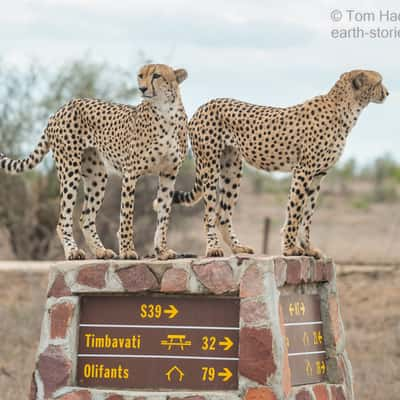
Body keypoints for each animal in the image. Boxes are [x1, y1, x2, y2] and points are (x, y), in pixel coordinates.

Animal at [0, 63, 189, 260]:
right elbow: (127, 215)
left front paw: (162, 250)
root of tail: (62, 108)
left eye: (156, 75)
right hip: (69, 170)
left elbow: (163, 214)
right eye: (140, 75)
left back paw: (101, 250)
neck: (166, 112)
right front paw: (127, 250)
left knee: (85, 218)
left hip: (97, 176)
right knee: (63, 219)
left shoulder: (169, 174)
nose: (142, 89)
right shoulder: (131, 173)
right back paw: (73, 251)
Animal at [174, 70, 388, 258]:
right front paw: (290, 248)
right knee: (209, 213)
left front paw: (308, 248)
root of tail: (205, 105)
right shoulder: (304, 170)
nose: (387, 93)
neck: (347, 109)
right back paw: (213, 249)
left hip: (232, 169)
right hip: (209, 166)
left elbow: (307, 214)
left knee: (222, 214)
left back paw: (238, 248)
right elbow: (295, 209)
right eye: (379, 82)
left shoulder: (319, 174)